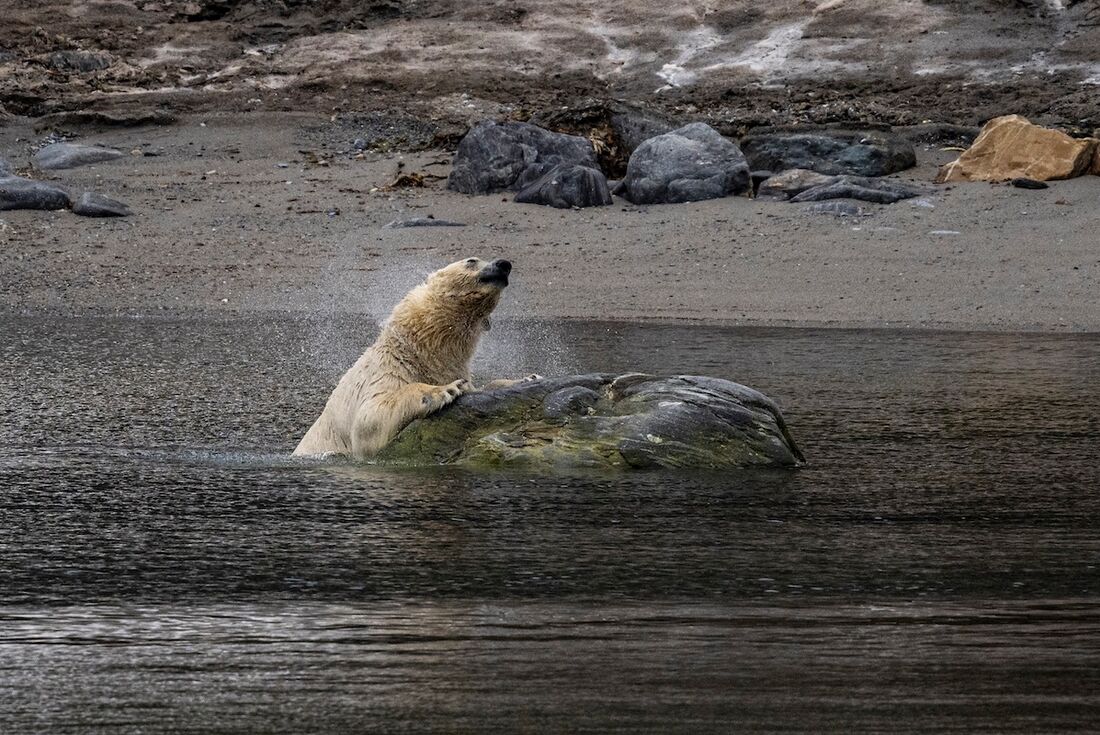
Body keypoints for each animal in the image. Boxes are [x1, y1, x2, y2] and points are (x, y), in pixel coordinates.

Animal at [294, 256, 516, 460]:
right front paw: (446, 389)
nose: (503, 264)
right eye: (471, 260)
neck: (414, 352)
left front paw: (519, 380)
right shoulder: (382, 372)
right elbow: (368, 419)